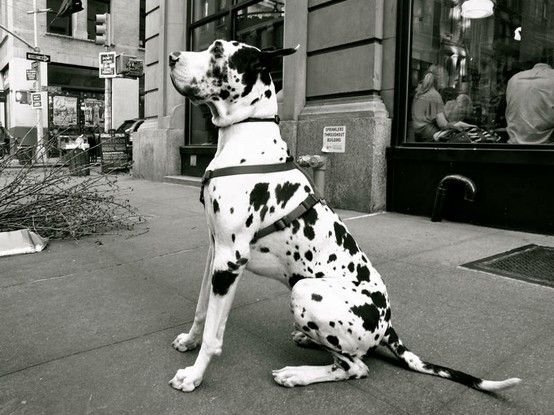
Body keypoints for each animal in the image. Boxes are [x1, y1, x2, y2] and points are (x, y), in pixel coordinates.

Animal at [166, 40, 520, 394]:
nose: (171, 57)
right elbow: (202, 309)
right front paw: (190, 340)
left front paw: (195, 374)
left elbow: (214, 333)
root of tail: (387, 324)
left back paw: (297, 374)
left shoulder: (231, 259)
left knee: (355, 366)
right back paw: (305, 341)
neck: (246, 143)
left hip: (304, 291)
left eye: (217, 52)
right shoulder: (216, 253)